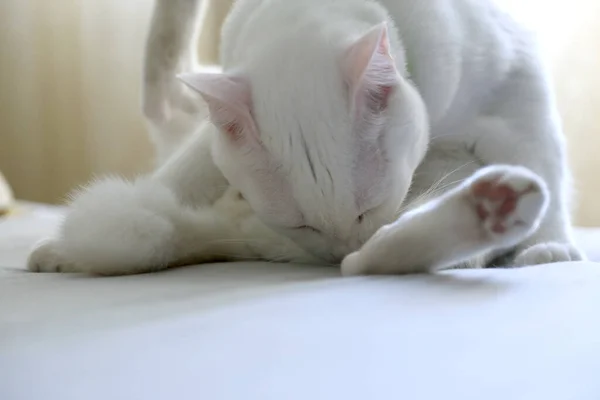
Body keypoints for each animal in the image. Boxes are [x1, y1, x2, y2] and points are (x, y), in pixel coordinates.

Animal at [27, 0, 580, 276]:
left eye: (366, 207)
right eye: (302, 224)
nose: (335, 250)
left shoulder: (516, 85)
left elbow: (544, 157)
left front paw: (551, 247)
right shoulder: (212, 136)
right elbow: (182, 173)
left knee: (378, 255)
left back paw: (502, 212)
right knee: (373, 259)